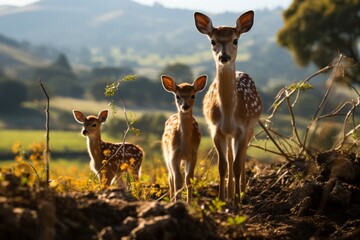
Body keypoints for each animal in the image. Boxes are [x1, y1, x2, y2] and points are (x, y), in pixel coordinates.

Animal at [194, 10, 262, 202]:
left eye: (235, 40)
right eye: (212, 41)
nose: (224, 57)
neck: (230, 115)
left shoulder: (243, 128)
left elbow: (238, 164)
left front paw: (239, 200)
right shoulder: (215, 129)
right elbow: (223, 166)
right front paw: (222, 199)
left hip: (251, 127)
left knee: (242, 155)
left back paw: (243, 191)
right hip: (229, 134)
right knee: (231, 157)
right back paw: (231, 193)